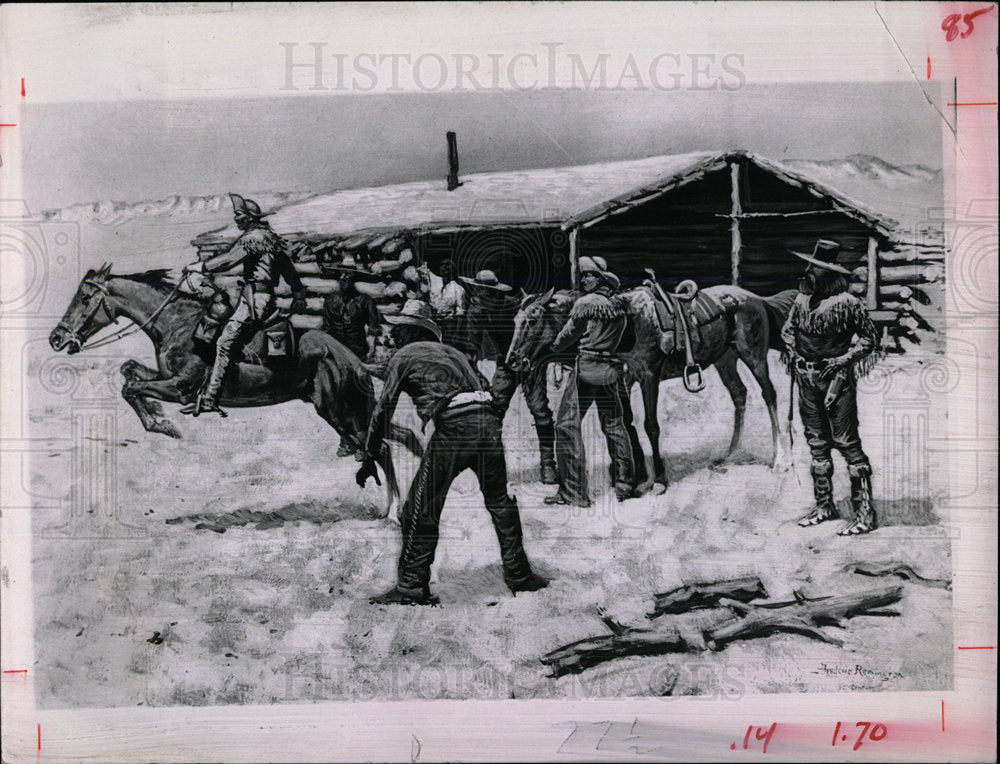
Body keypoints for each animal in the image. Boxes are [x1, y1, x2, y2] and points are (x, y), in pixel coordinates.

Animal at [50, 264, 422, 520]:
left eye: (84, 298)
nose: (56, 338)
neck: (179, 324)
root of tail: (353, 360)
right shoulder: (165, 378)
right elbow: (129, 370)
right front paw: (159, 419)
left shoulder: (179, 388)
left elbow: (131, 386)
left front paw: (163, 425)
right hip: (346, 413)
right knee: (397, 440)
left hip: (341, 412)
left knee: (381, 449)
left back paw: (391, 512)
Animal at [508, 282, 796, 490]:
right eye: (515, 320)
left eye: (532, 320)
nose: (512, 360)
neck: (627, 321)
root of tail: (756, 298)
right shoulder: (625, 379)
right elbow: (628, 422)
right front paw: (635, 474)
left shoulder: (649, 376)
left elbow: (650, 426)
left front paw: (658, 479)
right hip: (725, 359)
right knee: (739, 394)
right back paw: (730, 454)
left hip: (754, 356)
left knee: (769, 395)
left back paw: (780, 459)